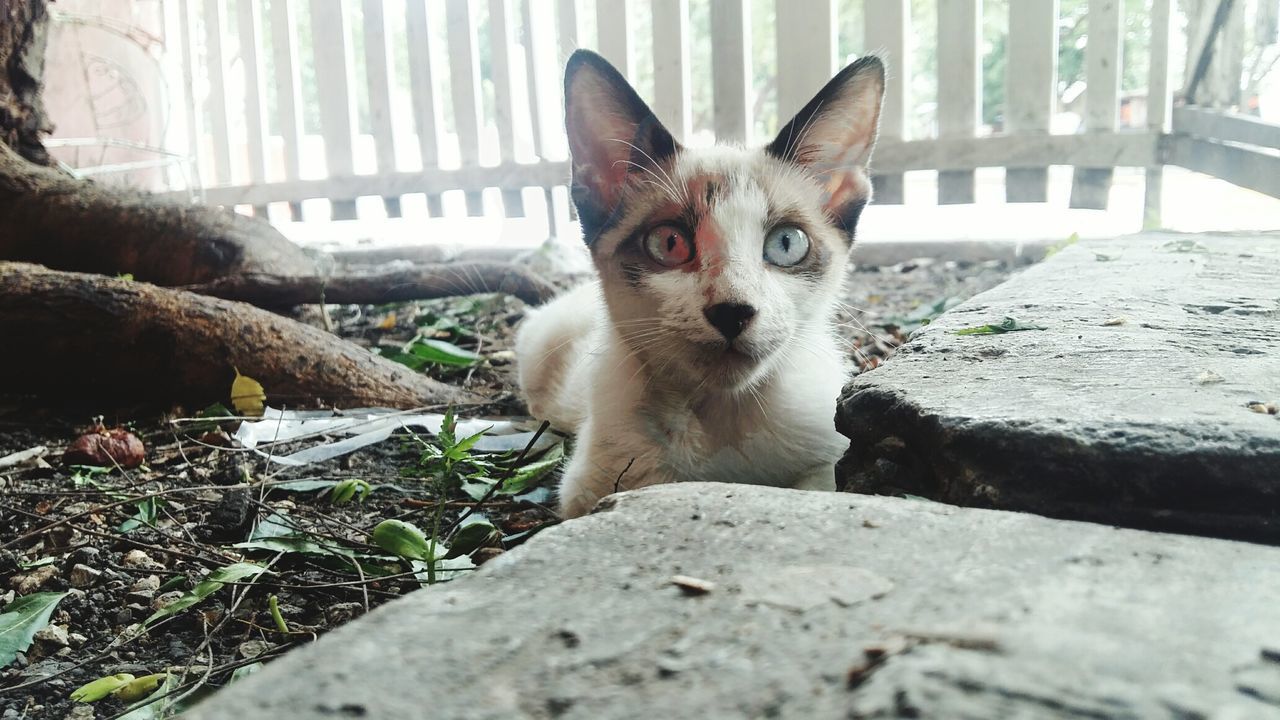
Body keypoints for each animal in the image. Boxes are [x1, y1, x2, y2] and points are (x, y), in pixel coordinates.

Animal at [514, 47, 885, 515]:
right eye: (669, 242)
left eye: (786, 243)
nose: (733, 311)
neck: (723, 418)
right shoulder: (592, 484)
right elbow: (652, 488)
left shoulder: (831, 451)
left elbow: (817, 489)